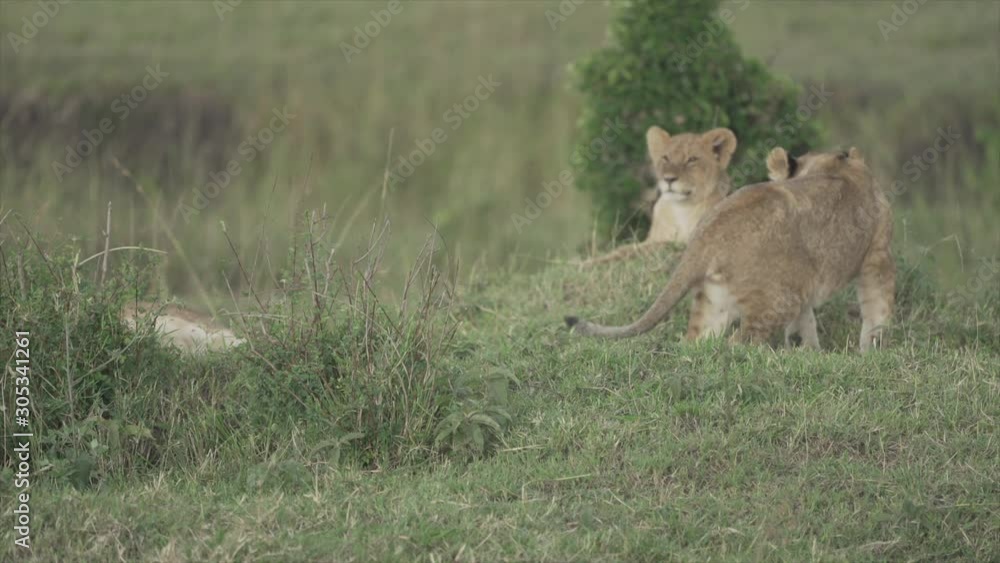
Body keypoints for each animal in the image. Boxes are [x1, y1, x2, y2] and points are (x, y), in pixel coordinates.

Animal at [566, 147, 895, 352]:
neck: (834, 163)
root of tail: (707, 233)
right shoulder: (877, 254)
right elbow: (877, 307)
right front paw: (871, 351)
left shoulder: (803, 281)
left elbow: (805, 324)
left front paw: (809, 353)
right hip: (775, 300)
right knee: (739, 342)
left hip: (715, 298)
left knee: (697, 340)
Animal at [583, 126, 736, 265]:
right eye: (665, 158)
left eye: (692, 159)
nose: (668, 178)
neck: (682, 208)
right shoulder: (651, 239)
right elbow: (623, 250)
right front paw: (586, 263)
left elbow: (660, 246)